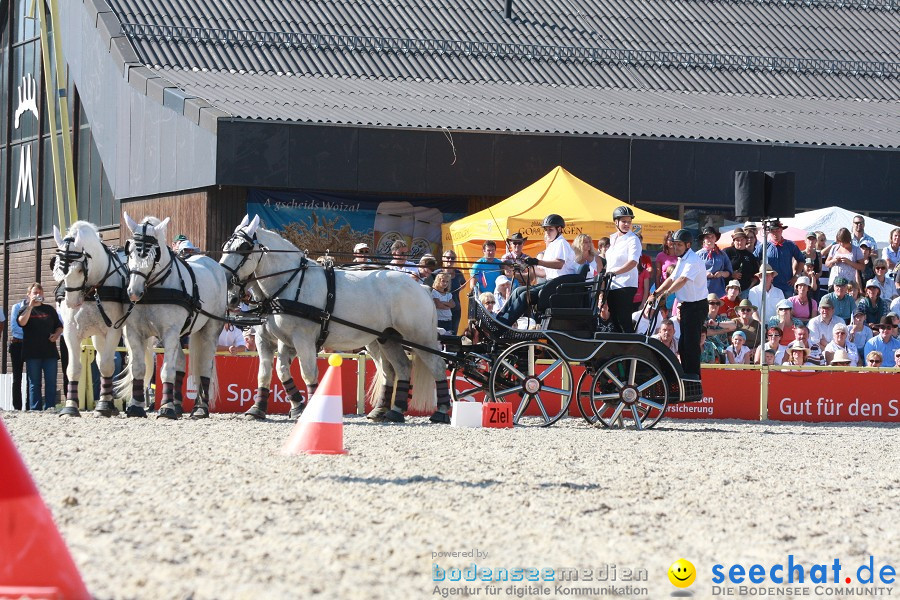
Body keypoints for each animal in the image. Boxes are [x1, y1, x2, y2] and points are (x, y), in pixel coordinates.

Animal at [51, 221, 134, 418]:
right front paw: (70, 407)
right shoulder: (70, 332)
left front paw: (103, 407)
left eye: (80, 269)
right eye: (58, 267)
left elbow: (106, 366)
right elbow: (74, 368)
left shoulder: (113, 330)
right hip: (97, 334)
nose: (72, 302)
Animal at [121, 213, 229, 420]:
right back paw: (178, 404)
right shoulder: (134, 332)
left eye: (155, 254)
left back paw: (200, 408)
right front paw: (136, 406)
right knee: (180, 362)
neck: (155, 288)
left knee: (204, 365)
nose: (134, 293)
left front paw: (166, 408)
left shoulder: (170, 332)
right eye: (129, 251)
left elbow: (166, 371)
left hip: (210, 328)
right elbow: (139, 368)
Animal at [221, 216, 454, 422]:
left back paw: (441, 411)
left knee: (437, 366)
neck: (289, 282)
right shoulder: (271, 340)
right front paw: (265, 408)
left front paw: (307, 410)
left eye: (243, 248)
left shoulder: (302, 338)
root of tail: (422, 287)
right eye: (225, 247)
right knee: (398, 368)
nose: (228, 292)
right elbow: (271, 372)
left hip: (420, 337)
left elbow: (308, 373)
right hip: (385, 338)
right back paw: (390, 411)